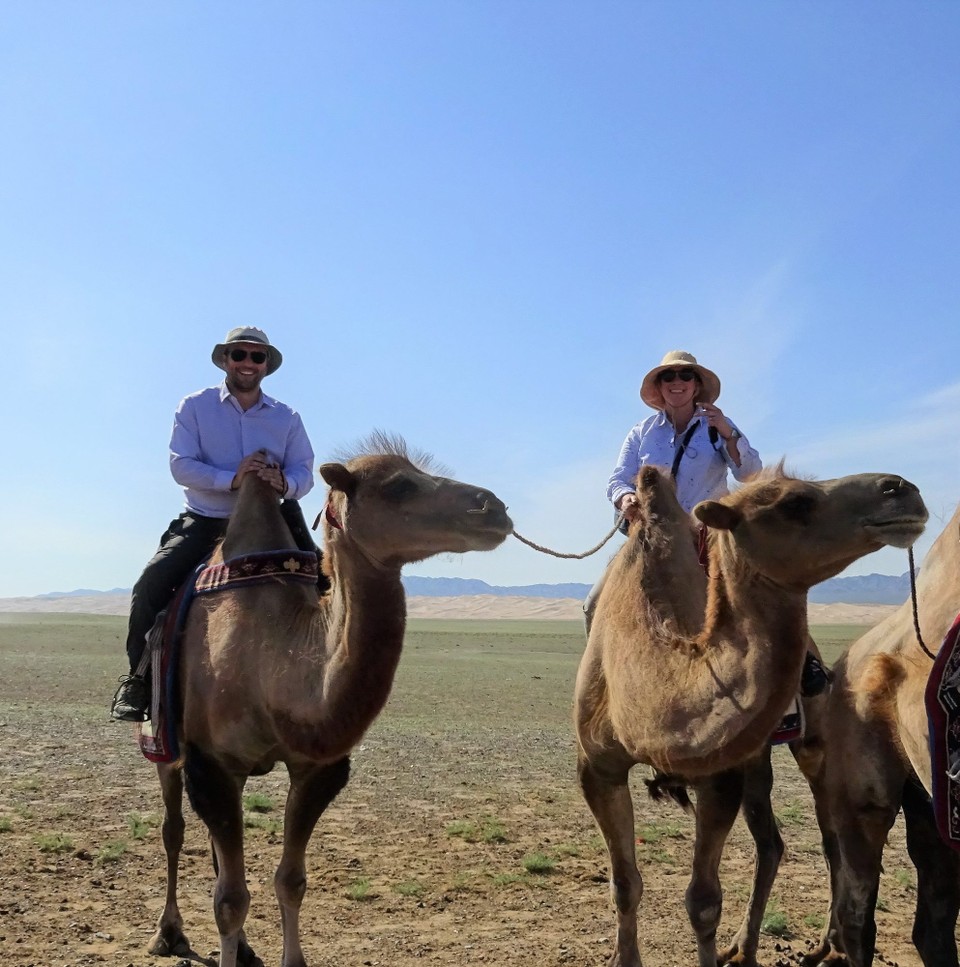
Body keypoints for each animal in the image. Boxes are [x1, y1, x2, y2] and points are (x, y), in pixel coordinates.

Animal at [142, 436, 510, 967]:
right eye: (399, 485)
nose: (494, 507)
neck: (274, 659)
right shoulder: (212, 762)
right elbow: (229, 899)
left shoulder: (318, 768)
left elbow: (290, 881)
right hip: (164, 745)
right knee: (174, 830)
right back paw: (167, 933)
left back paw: (243, 948)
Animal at [572, 466, 928, 964]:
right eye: (794, 502)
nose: (899, 487)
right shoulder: (598, 767)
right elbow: (624, 886)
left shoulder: (720, 777)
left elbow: (703, 901)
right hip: (756, 757)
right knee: (772, 844)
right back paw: (745, 947)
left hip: (811, 747)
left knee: (830, 841)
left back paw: (826, 945)